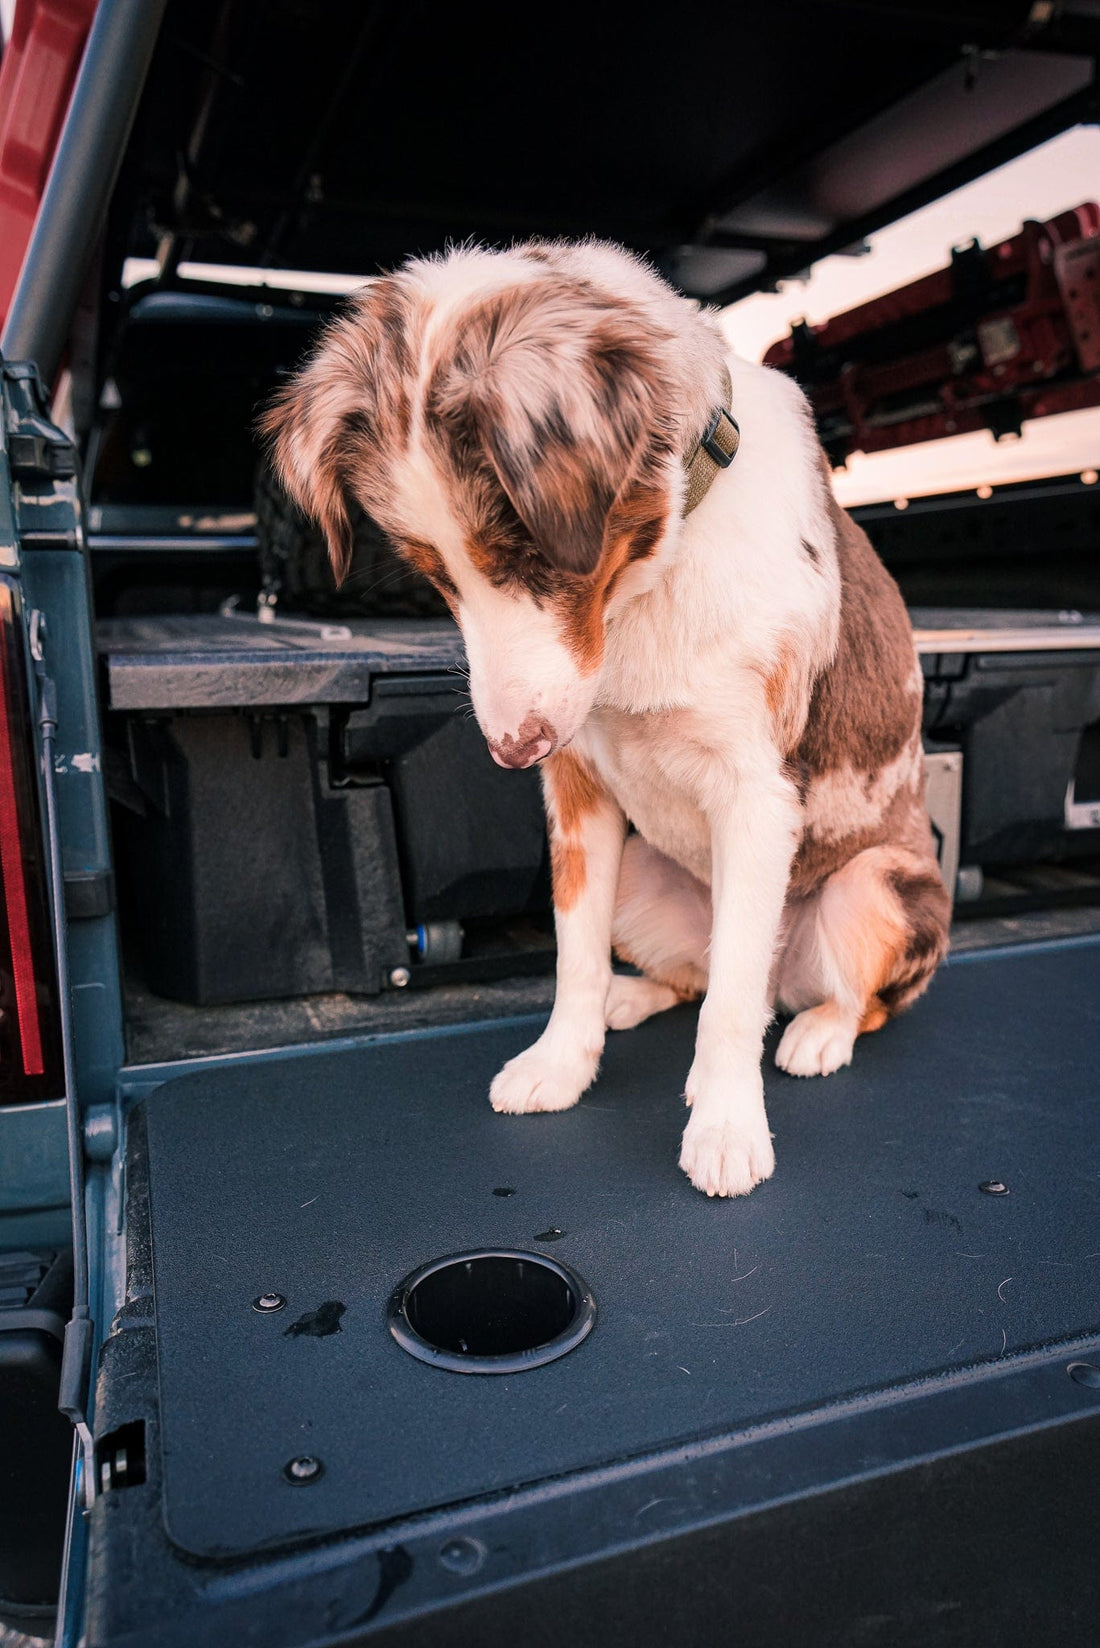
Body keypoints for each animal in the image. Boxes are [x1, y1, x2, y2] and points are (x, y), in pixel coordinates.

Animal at [262, 238, 949, 1199]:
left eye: (532, 555)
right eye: (434, 576)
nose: (512, 750)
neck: (651, 580)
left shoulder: (757, 794)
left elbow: (733, 1003)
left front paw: (727, 1126)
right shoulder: (578, 788)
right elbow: (574, 956)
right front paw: (562, 1064)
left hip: (879, 884)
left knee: (838, 996)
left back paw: (818, 1034)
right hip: (641, 881)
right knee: (697, 975)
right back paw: (639, 995)